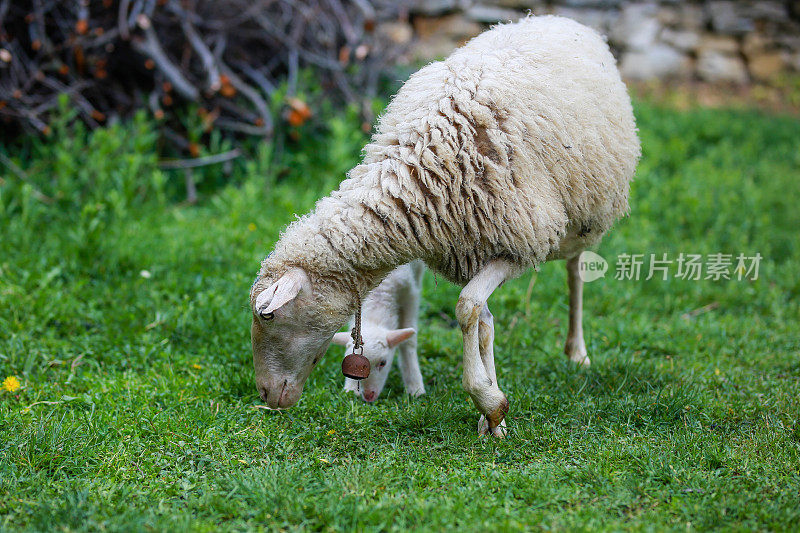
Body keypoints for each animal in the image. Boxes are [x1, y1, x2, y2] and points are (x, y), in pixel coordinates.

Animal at [332, 260, 428, 402]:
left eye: (383, 363)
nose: (368, 396)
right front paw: (351, 389)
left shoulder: (410, 295)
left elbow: (409, 341)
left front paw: (415, 387)